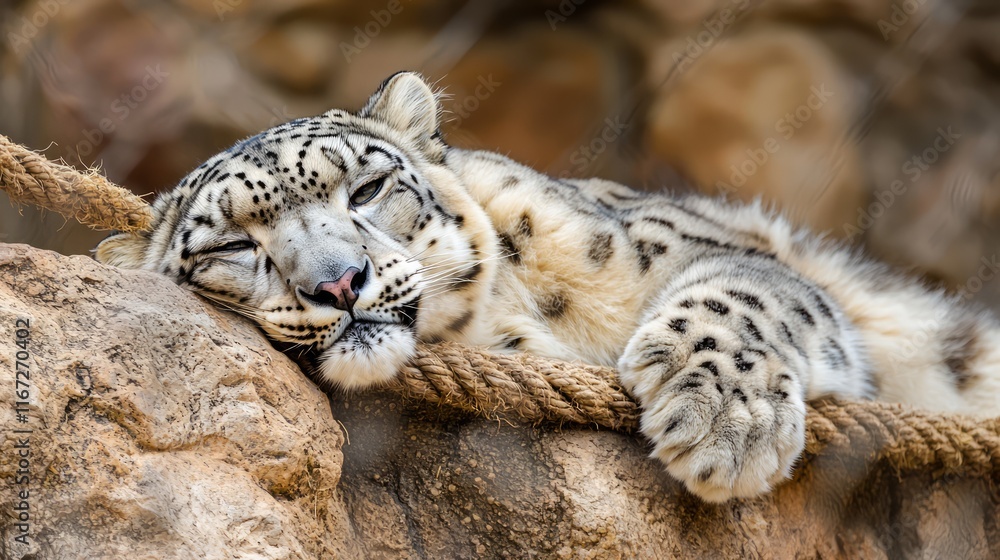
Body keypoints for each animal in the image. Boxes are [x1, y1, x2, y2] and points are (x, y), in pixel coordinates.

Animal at [96, 72, 1000, 502]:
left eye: (366, 188)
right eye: (233, 244)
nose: (340, 282)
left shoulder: (718, 250)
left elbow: (747, 290)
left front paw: (721, 425)